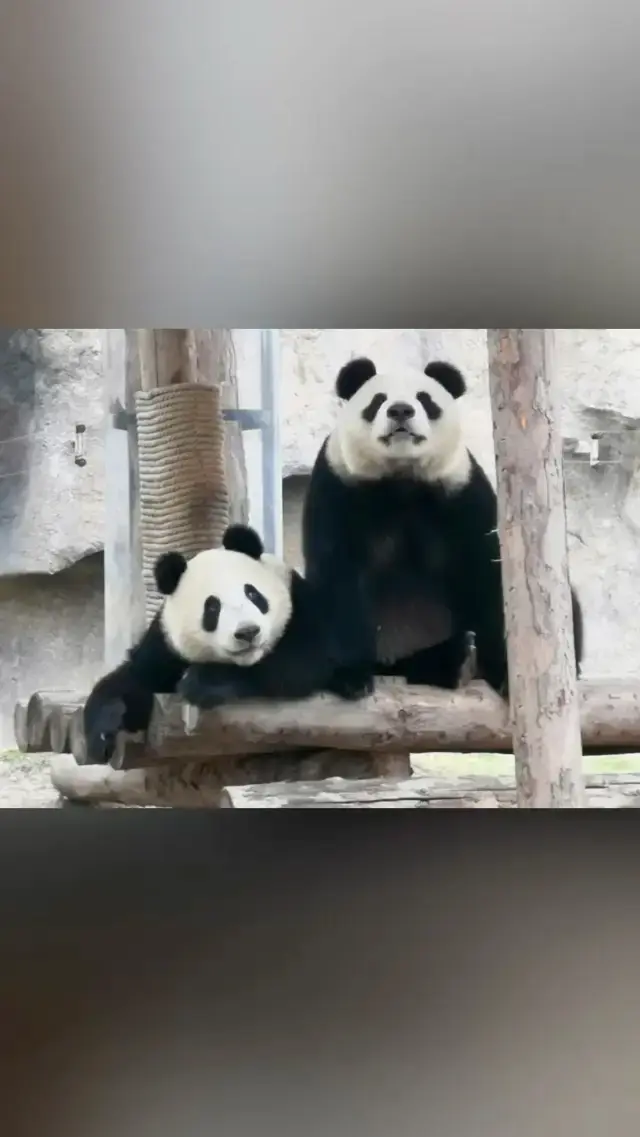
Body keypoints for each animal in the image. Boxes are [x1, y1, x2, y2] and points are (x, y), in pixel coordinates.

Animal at [82, 523, 354, 764]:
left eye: (253, 594)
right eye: (212, 608)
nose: (248, 632)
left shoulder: (301, 607)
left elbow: (299, 663)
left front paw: (204, 681)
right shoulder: (167, 646)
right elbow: (136, 679)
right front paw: (102, 733)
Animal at [302, 357, 582, 700]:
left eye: (425, 399)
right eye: (377, 400)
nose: (400, 410)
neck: (401, 478)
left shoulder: (462, 491)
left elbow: (488, 571)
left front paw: (505, 671)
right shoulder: (338, 487)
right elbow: (337, 573)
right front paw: (351, 677)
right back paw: (451, 660)